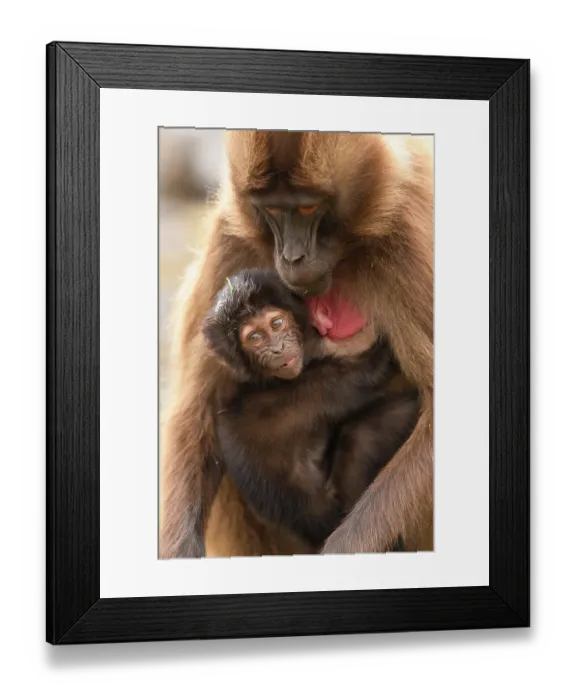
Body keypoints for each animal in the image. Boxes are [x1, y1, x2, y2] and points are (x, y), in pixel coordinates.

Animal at [200, 268, 420, 549]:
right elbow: (371, 371)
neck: (259, 381)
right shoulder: (308, 391)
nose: (277, 349)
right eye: (255, 338)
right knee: (372, 429)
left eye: (276, 324)